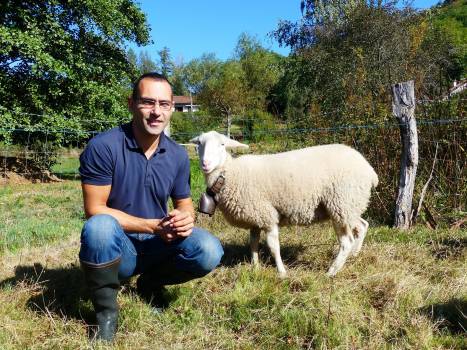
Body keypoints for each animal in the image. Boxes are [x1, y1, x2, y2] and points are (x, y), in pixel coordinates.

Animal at [190, 130, 380, 278]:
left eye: (222, 144)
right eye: (199, 143)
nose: (205, 164)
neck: (230, 174)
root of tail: (369, 170)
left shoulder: (267, 216)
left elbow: (274, 247)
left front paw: (281, 272)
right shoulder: (255, 218)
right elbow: (253, 244)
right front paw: (255, 267)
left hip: (342, 203)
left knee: (346, 241)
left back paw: (331, 271)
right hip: (350, 205)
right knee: (362, 225)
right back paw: (354, 255)